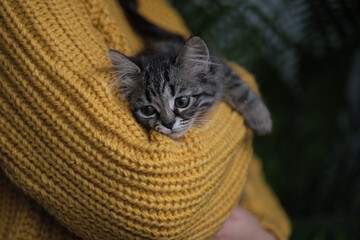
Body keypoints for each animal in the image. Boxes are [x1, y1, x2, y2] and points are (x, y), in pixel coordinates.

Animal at [108, 0, 272, 139]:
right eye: (148, 110)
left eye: (182, 102)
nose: (169, 124)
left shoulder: (220, 66)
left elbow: (239, 87)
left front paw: (260, 117)